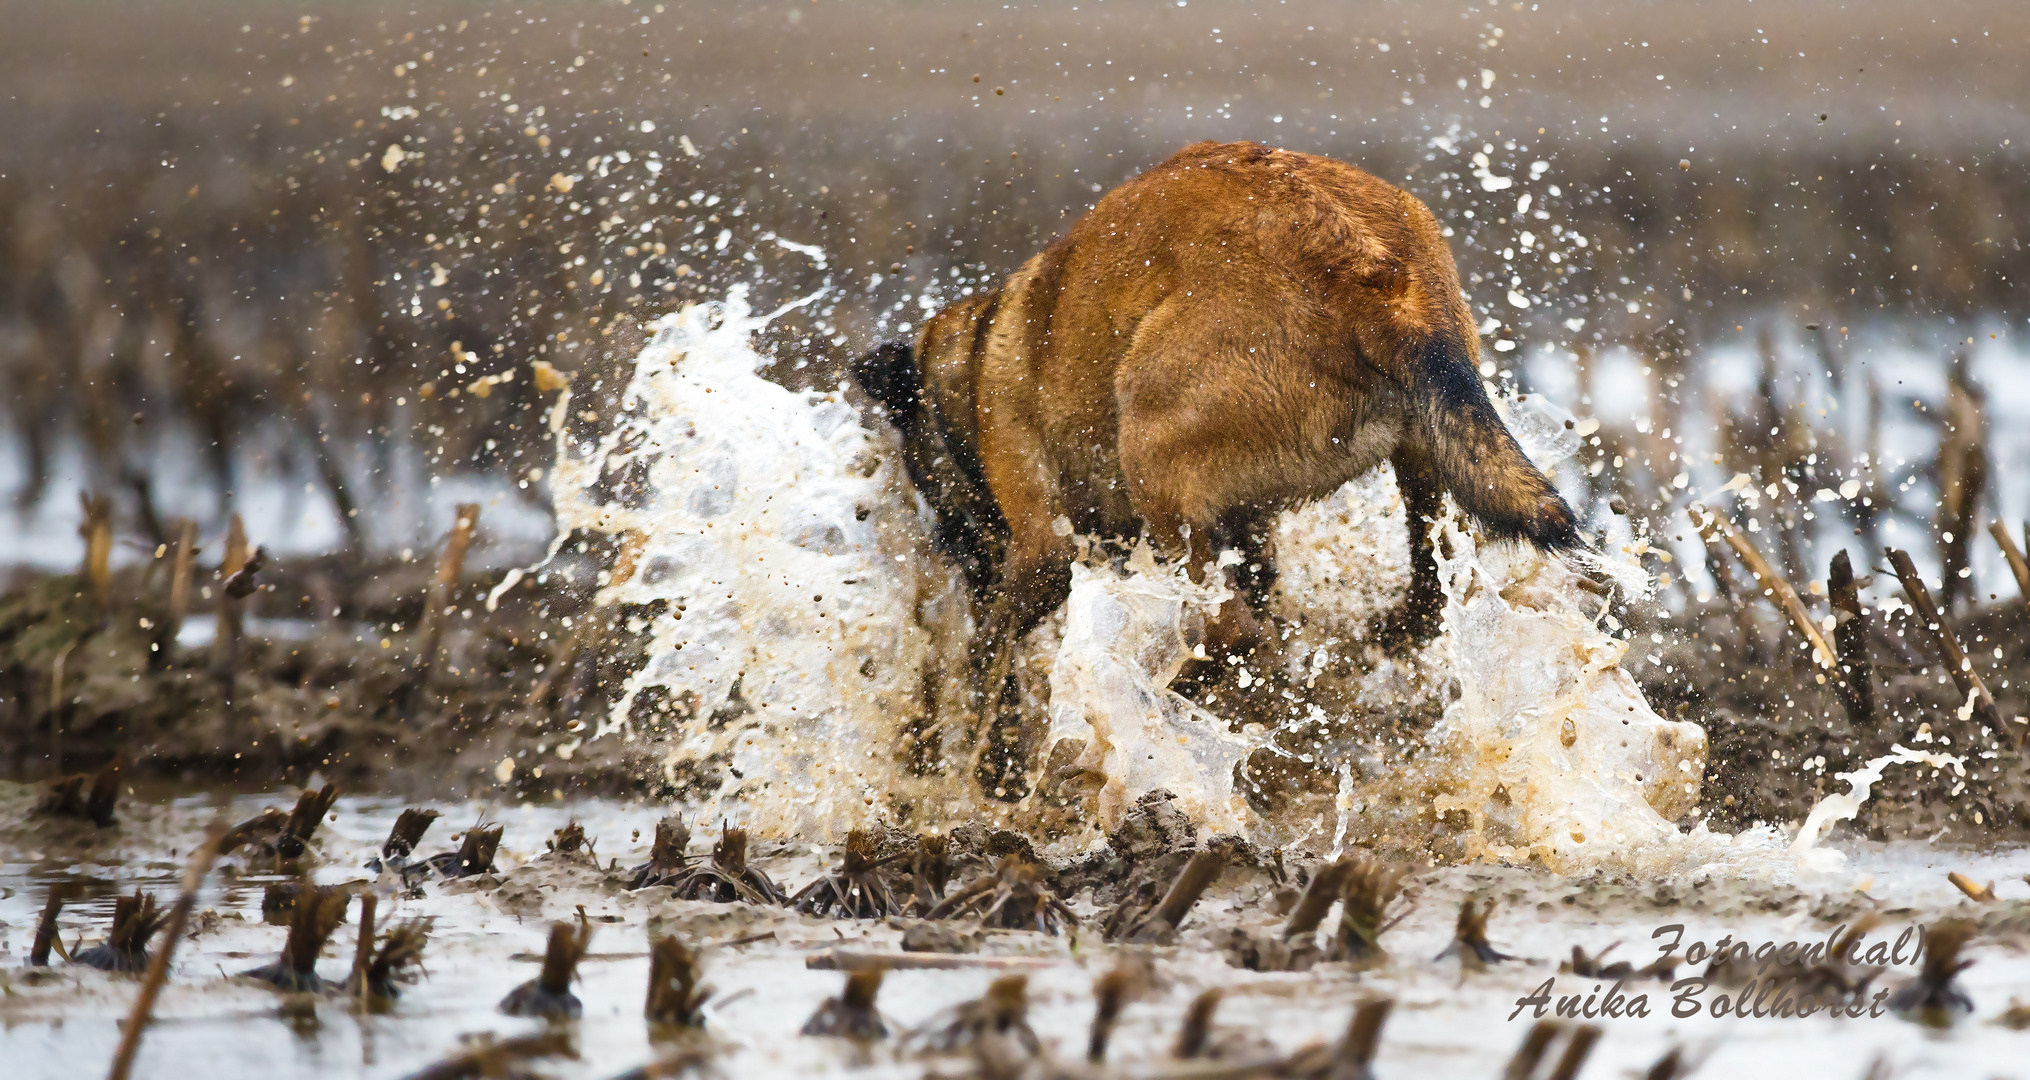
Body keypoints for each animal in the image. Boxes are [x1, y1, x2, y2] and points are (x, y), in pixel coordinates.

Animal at [848, 139, 1575, 714]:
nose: (947, 550)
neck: (972, 365)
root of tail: (1366, 276)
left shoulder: (1040, 542)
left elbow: (987, 651)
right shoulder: (1248, 526)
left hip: (1150, 454)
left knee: (1234, 634)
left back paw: (1156, 699)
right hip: (1426, 461)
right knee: (1423, 598)